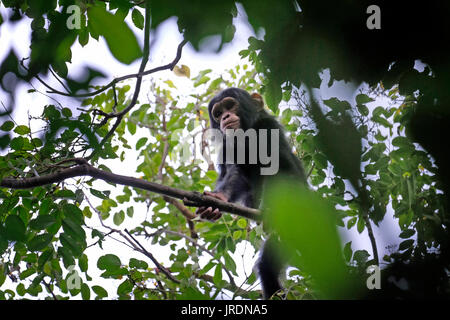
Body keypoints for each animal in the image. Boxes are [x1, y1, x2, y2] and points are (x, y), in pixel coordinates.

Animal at [196, 87, 306, 298]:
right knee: (268, 268)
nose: (225, 117)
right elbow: (236, 174)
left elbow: (280, 166)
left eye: (230, 105)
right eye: (218, 113)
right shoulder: (228, 145)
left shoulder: (267, 127)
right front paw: (217, 200)